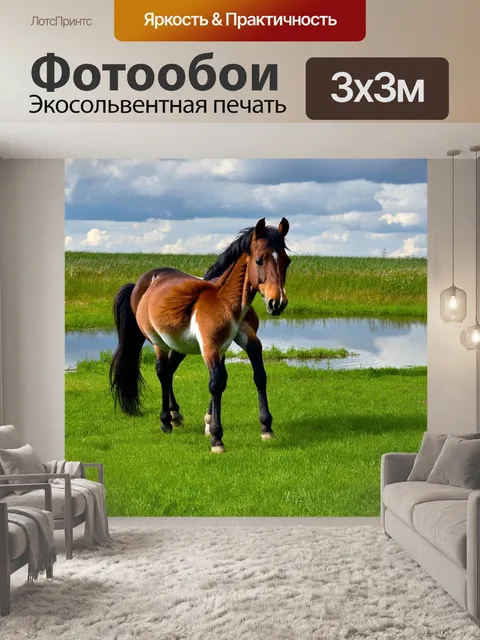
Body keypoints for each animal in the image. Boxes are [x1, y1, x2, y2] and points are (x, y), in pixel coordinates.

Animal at [109, 217, 291, 453]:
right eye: (259, 260)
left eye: (287, 262)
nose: (277, 303)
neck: (223, 300)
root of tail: (143, 282)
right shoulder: (210, 346)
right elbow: (217, 383)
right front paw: (216, 438)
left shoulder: (243, 340)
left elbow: (258, 375)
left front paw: (266, 428)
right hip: (159, 342)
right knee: (163, 372)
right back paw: (166, 421)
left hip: (179, 345)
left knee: (170, 370)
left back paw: (175, 415)